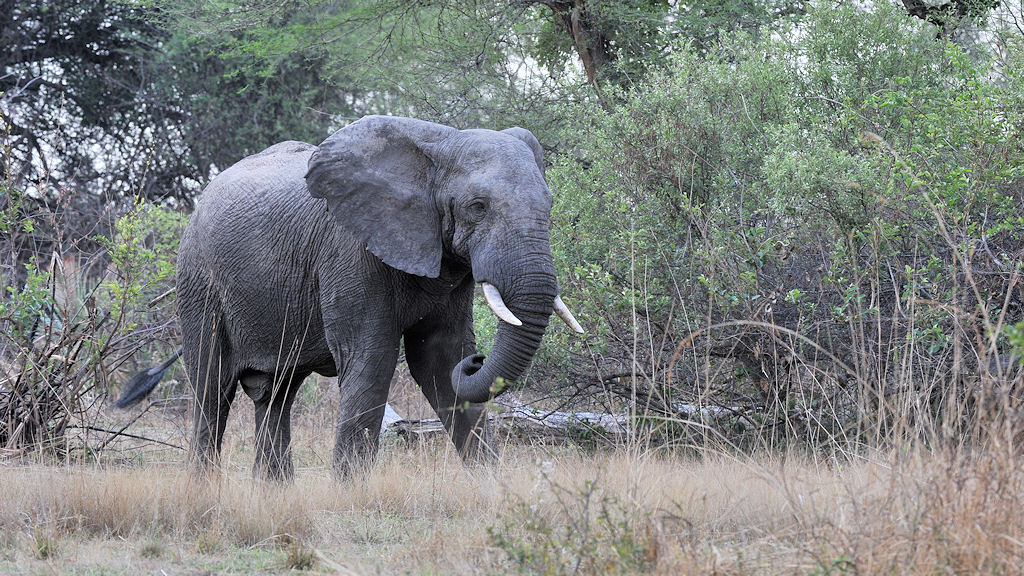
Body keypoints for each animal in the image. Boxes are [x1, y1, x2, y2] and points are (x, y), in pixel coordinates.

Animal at [159, 115, 582, 480]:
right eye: (478, 207)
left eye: (549, 205)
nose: (477, 360)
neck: (438, 145)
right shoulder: (350, 251)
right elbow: (372, 359)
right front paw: (349, 492)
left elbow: (441, 359)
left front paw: (489, 484)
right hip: (198, 279)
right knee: (212, 388)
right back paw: (204, 489)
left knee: (277, 393)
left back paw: (273, 494)